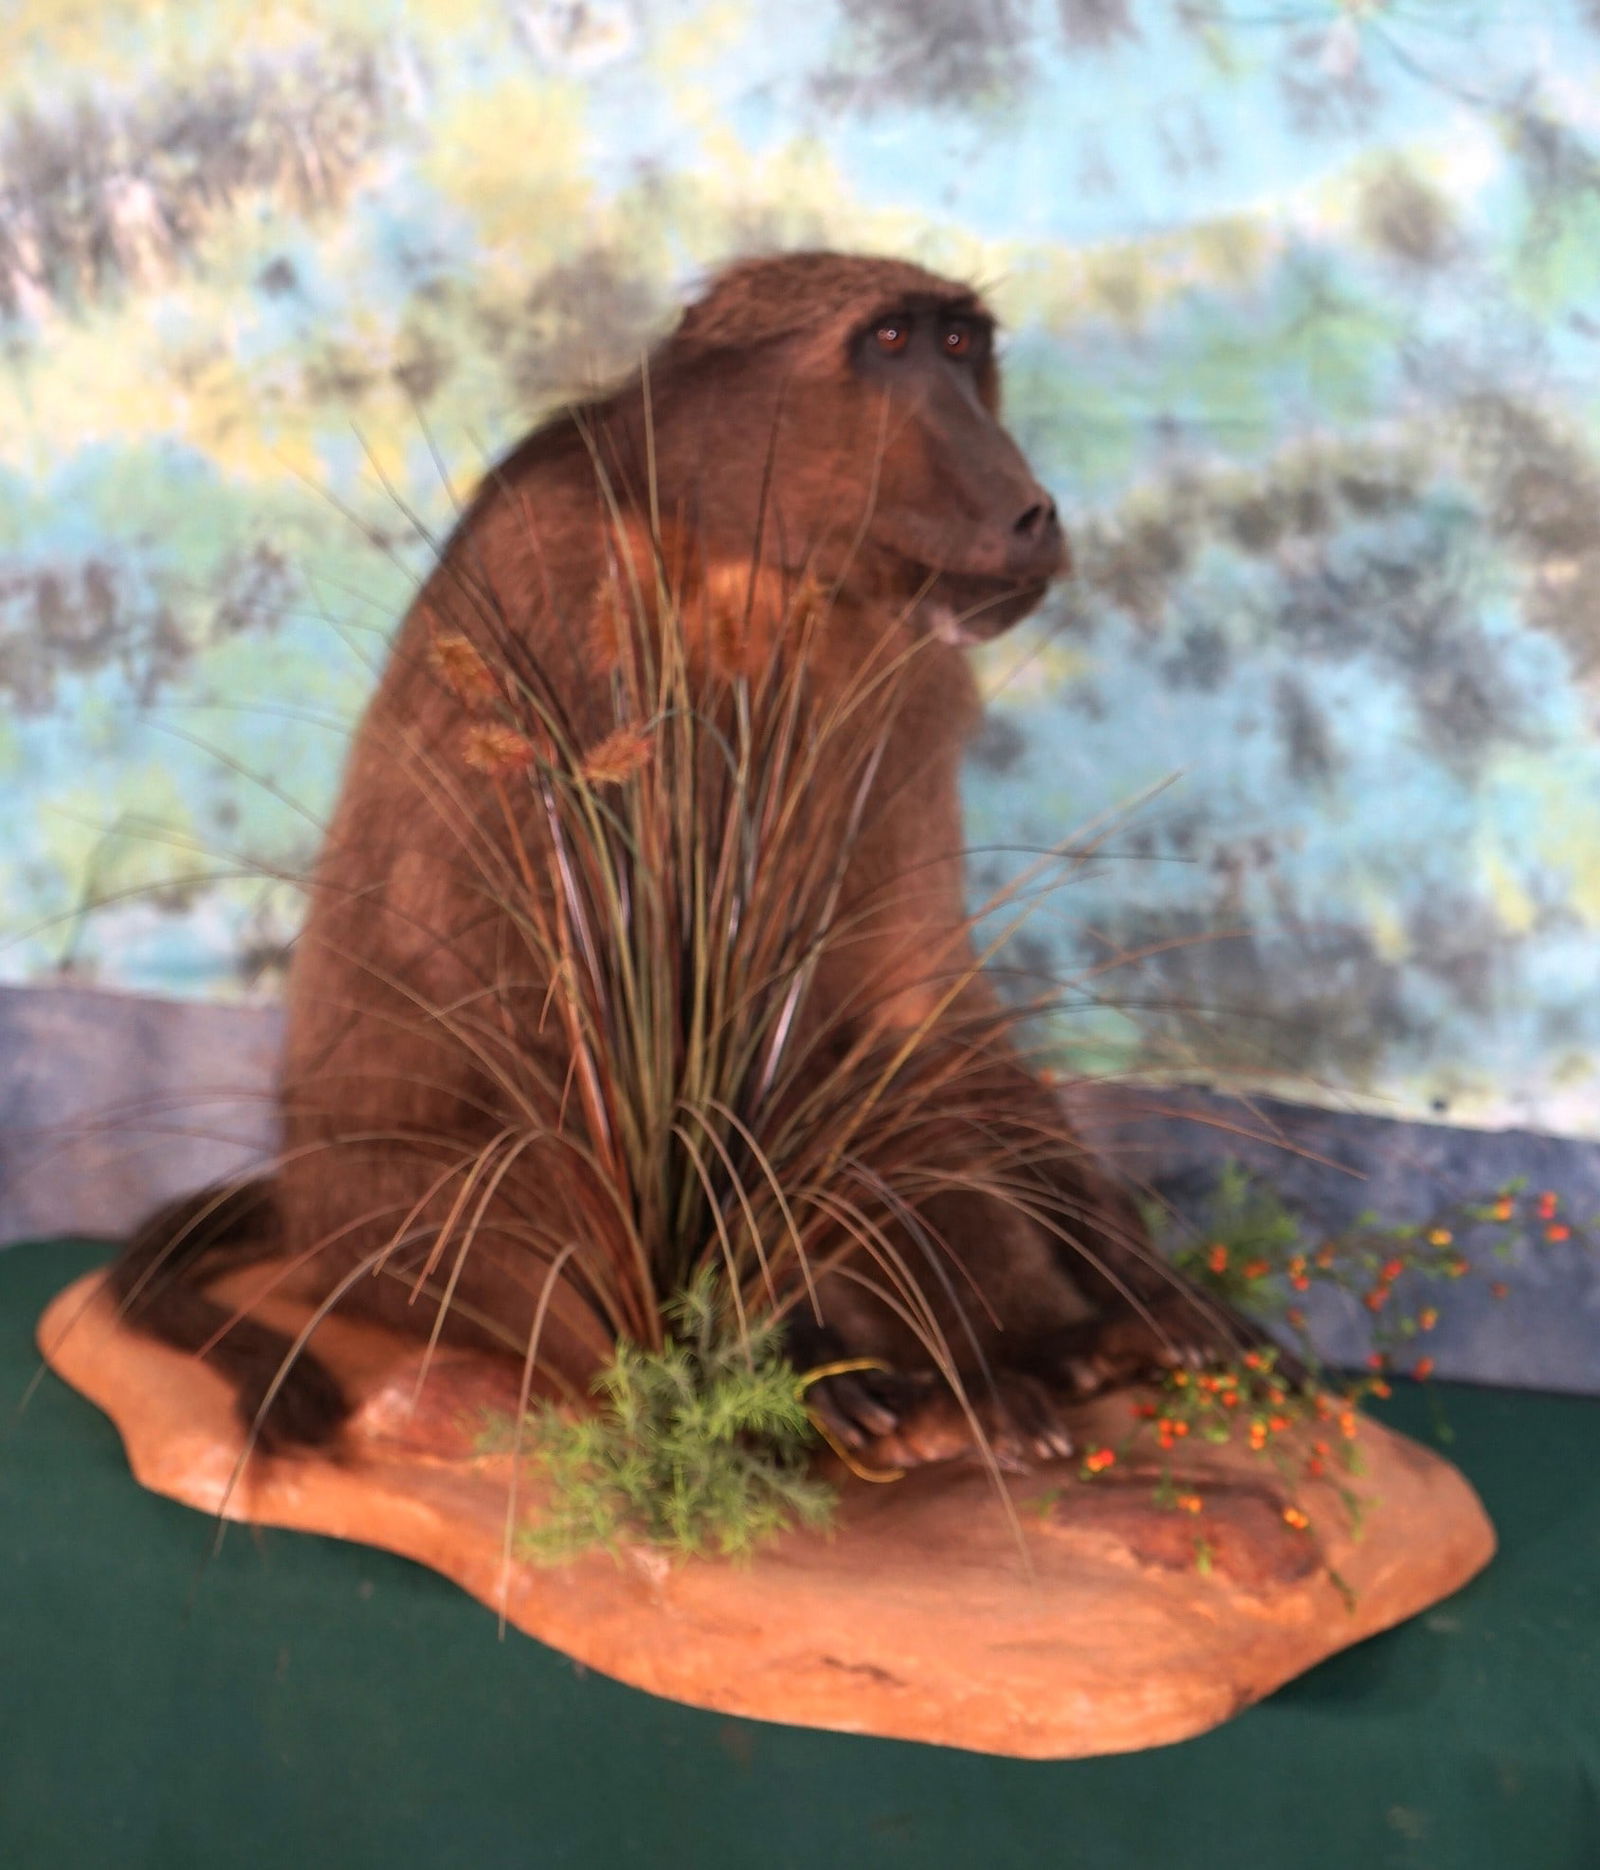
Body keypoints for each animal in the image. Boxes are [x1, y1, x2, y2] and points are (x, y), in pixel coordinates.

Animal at [109, 251, 1252, 1470]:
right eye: (891, 341)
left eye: (960, 344)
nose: (1029, 510)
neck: (740, 551)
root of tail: (309, 1202)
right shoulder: (563, 601)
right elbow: (591, 1018)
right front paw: (820, 1362)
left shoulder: (896, 684)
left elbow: (916, 999)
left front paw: (1133, 1298)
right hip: (404, 1228)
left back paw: (1057, 1343)